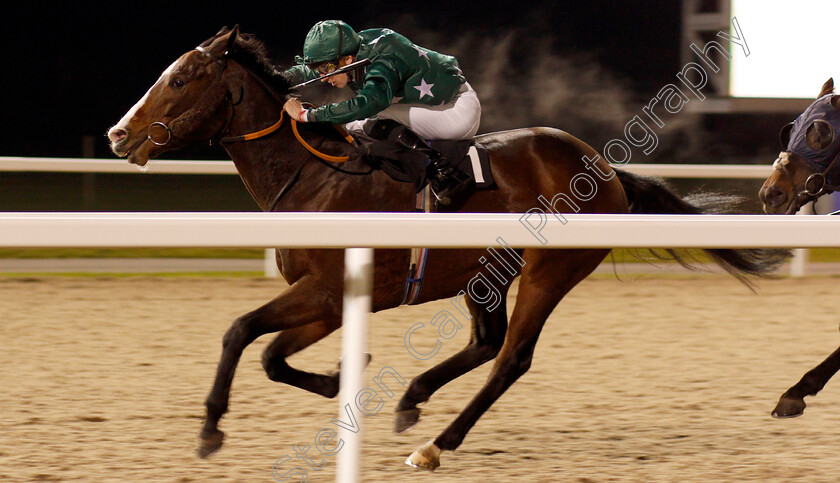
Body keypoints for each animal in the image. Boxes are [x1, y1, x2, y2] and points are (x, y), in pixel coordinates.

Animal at [110, 27, 788, 472]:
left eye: (180, 78)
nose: (118, 134)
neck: (314, 174)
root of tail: (605, 169)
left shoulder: (327, 290)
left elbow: (241, 332)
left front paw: (209, 430)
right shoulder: (327, 299)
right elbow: (272, 354)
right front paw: (342, 375)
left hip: (549, 272)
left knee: (510, 358)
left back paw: (435, 444)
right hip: (485, 273)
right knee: (487, 342)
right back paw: (413, 401)